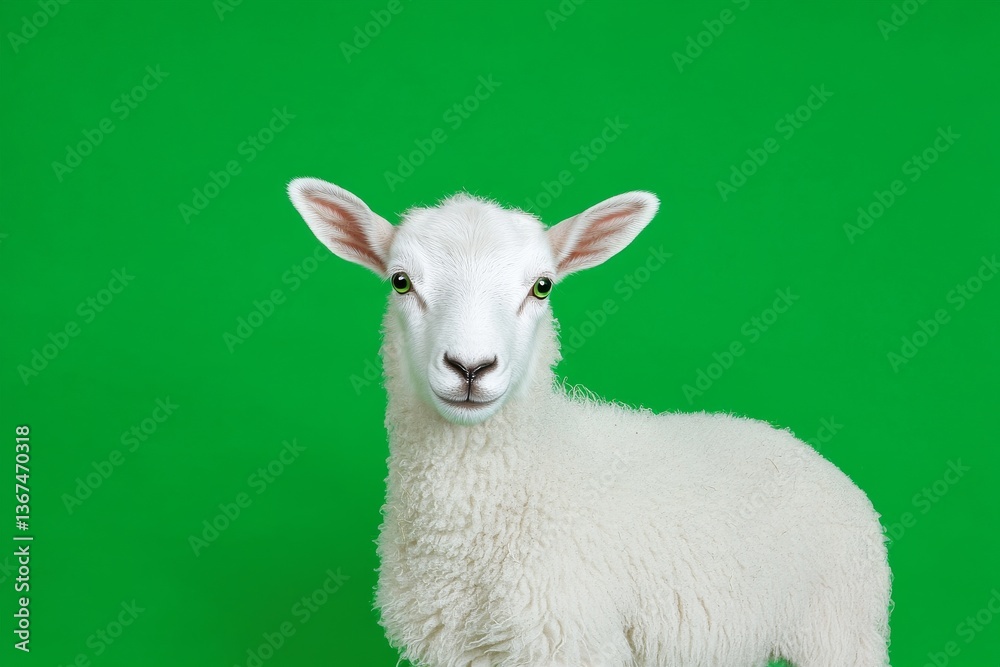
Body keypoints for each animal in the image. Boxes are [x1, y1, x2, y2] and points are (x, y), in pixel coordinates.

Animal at [287, 177, 892, 667]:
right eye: (401, 282)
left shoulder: (571, 639)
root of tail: (801, 447)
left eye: (542, 286)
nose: (470, 367)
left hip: (841, 626)